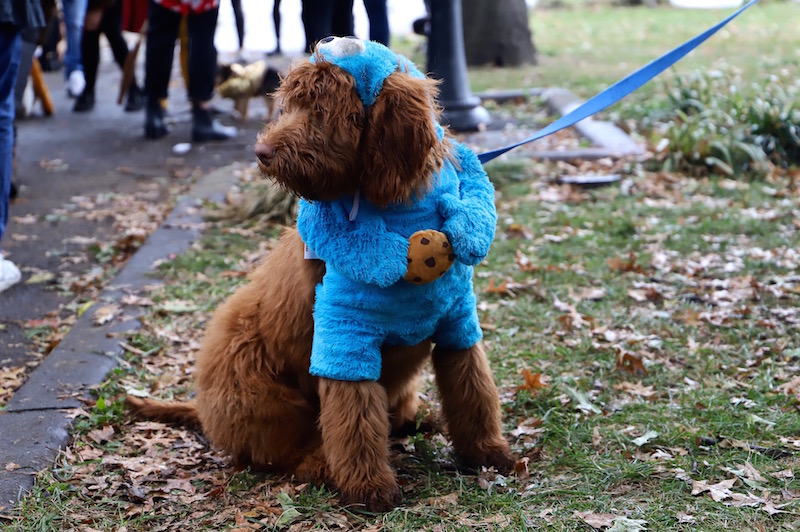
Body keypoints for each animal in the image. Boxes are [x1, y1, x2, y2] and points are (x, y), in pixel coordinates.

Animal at [125, 36, 512, 512]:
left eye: (323, 109)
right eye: (290, 105)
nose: (261, 153)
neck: (399, 212)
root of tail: (204, 411)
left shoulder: (458, 320)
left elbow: (474, 389)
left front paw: (487, 452)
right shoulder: (344, 331)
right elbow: (353, 416)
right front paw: (369, 486)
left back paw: (407, 419)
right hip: (262, 389)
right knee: (283, 452)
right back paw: (321, 465)